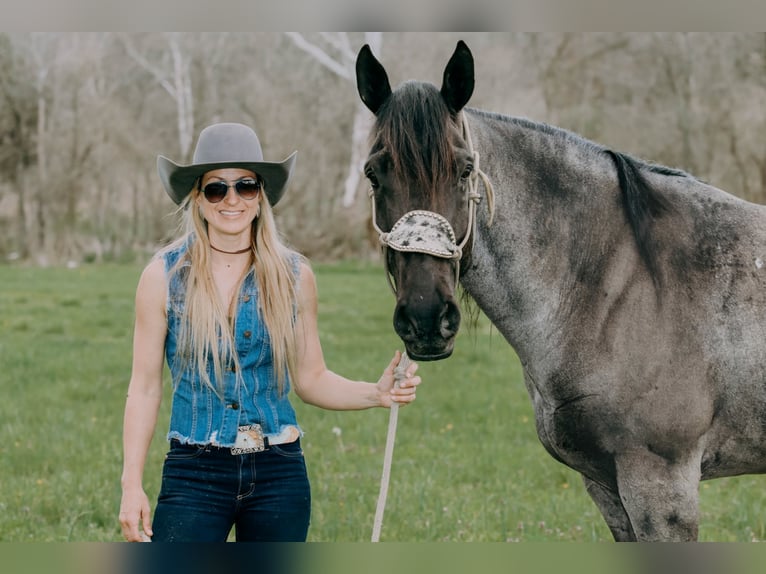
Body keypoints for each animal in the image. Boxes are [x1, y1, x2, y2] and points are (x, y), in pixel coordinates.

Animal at [356, 41, 766, 544]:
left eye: (465, 170)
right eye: (373, 174)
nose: (426, 318)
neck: (627, 283)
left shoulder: (662, 487)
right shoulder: (608, 488)